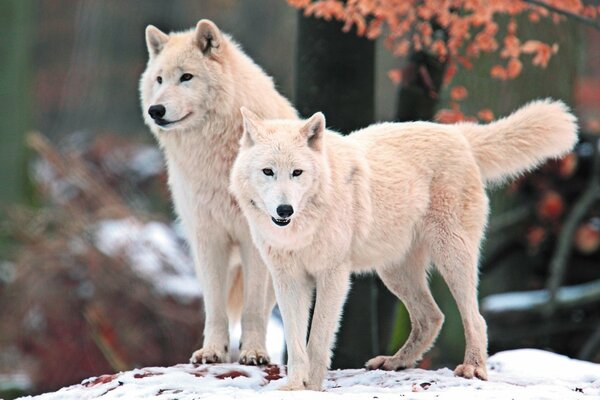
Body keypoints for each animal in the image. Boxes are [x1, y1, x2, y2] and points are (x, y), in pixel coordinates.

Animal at [141, 19, 300, 366]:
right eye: (159, 79)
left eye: (186, 77)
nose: (155, 110)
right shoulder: (209, 238)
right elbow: (215, 308)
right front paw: (213, 351)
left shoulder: (253, 242)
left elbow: (253, 309)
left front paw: (253, 353)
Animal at [230, 98, 576, 390]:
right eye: (268, 171)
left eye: (297, 173)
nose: (284, 210)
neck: (302, 228)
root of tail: (457, 134)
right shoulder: (288, 279)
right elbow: (295, 339)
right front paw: (294, 386)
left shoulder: (333, 276)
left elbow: (317, 339)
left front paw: (312, 387)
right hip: (394, 272)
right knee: (432, 317)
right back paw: (396, 362)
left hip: (451, 257)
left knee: (475, 318)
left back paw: (473, 368)